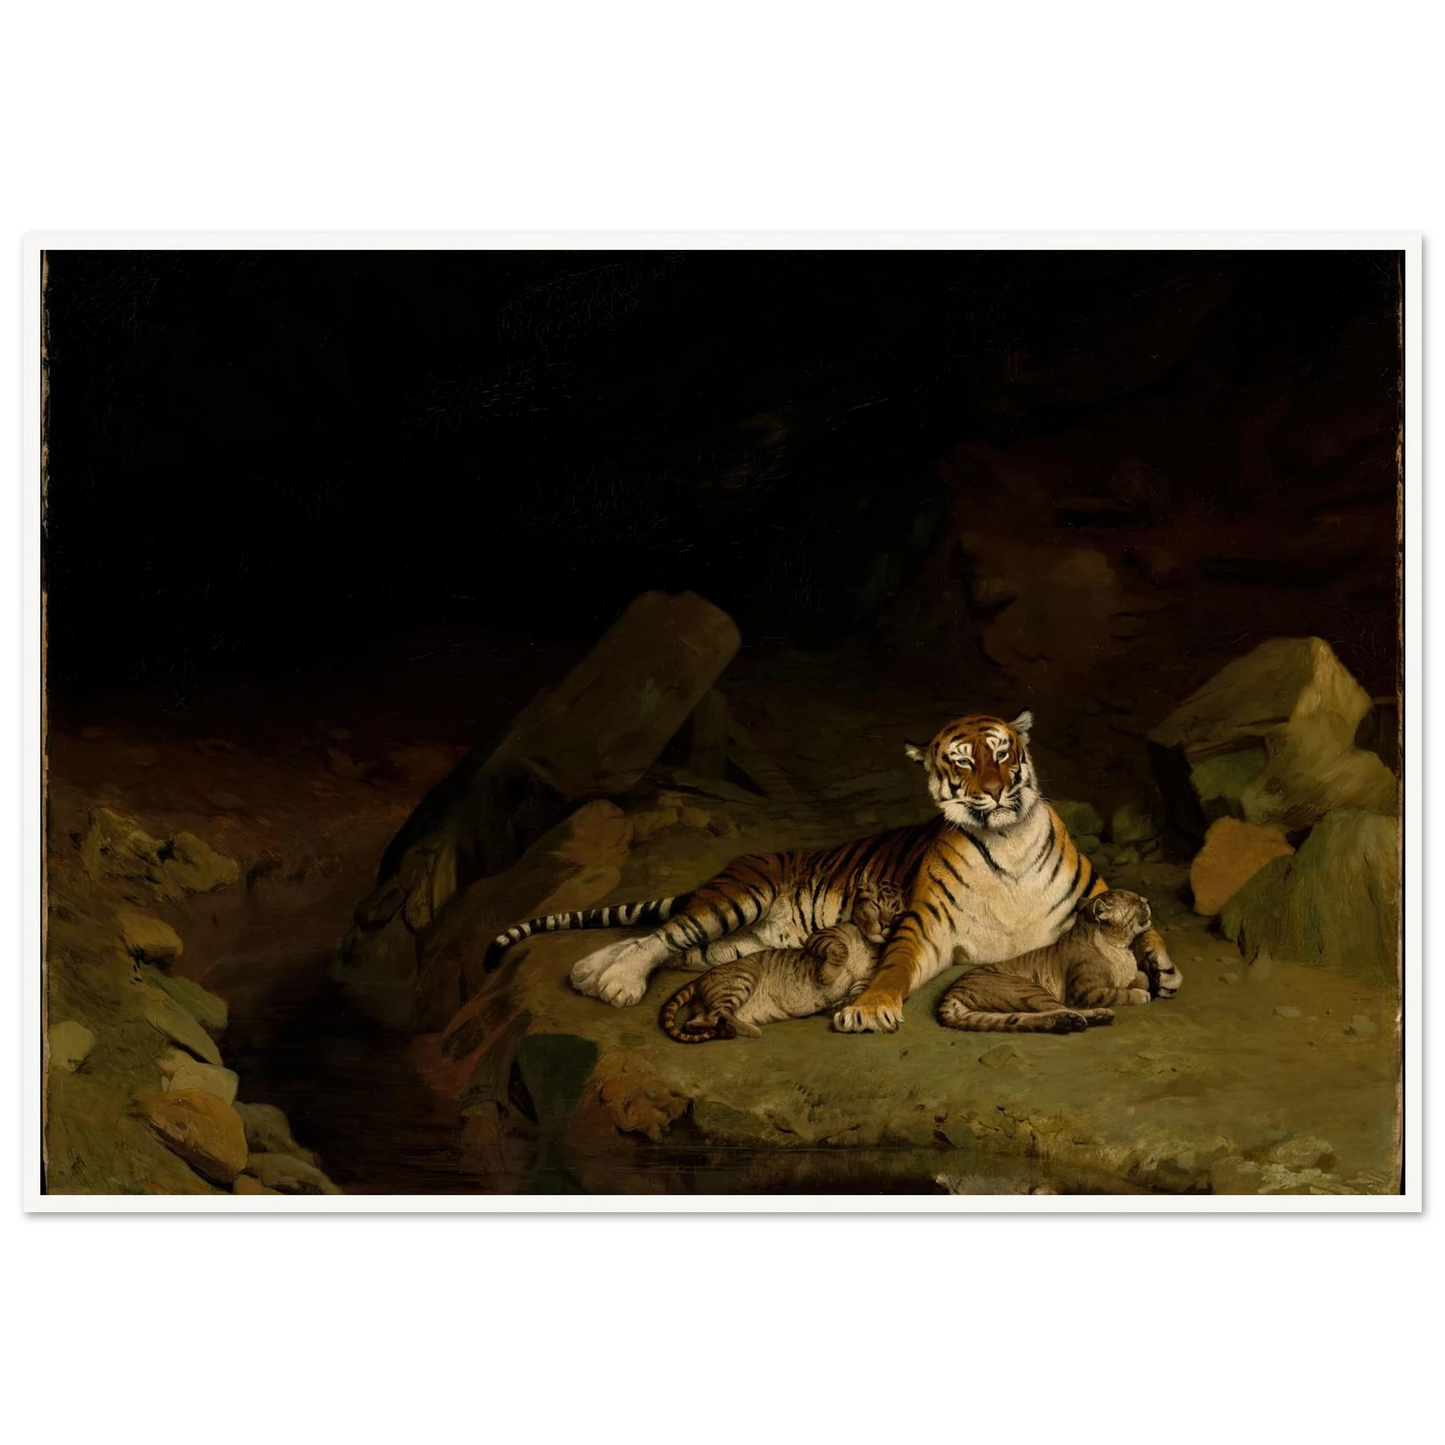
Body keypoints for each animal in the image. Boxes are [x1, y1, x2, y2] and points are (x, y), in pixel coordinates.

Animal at [937, 888, 1158, 1033]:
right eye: (1137, 903)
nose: (1147, 900)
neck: (1119, 947)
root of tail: (950, 992)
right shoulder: (1084, 991)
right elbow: (1117, 993)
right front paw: (1141, 994)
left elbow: (1140, 976)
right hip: (1029, 989)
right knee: (1061, 1008)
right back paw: (1094, 1016)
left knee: (1019, 1019)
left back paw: (1067, 1022)